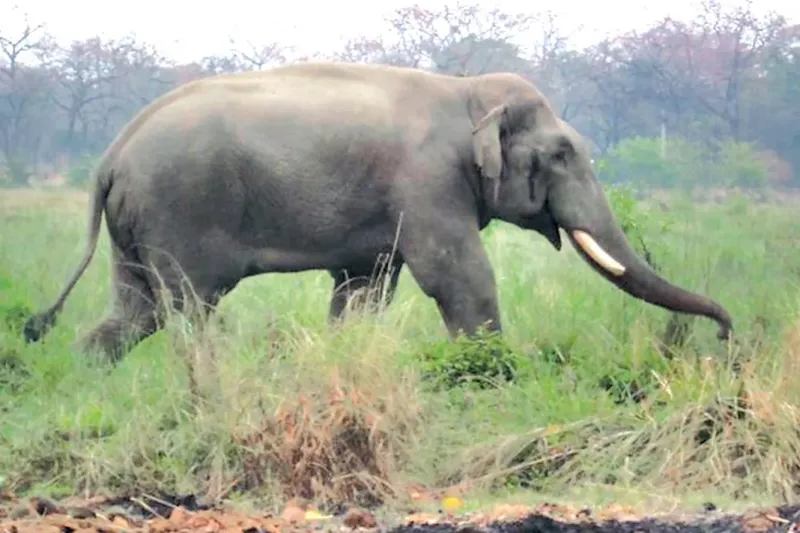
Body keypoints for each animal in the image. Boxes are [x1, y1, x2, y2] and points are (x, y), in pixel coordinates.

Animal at [23, 62, 733, 363]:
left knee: (134, 312)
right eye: (561, 155)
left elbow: (364, 289)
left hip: (137, 225)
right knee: (189, 309)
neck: (466, 91)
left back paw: (89, 374)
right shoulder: (428, 181)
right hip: (180, 210)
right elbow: (456, 275)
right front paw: (493, 372)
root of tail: (110, 157)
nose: (725, 336)